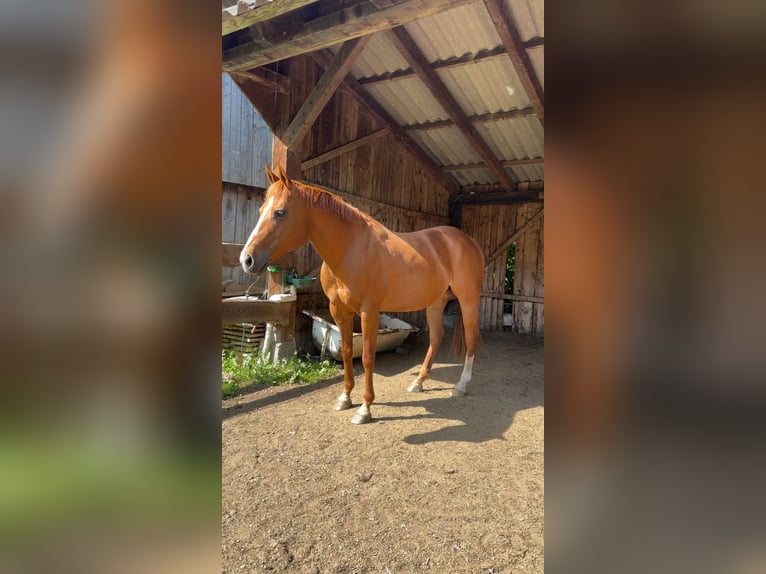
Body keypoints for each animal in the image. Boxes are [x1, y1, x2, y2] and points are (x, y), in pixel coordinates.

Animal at [240, 166, 485, 424]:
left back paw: (460, 385)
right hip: (435, 302)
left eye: (280, 212)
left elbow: (367, 357)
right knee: (436, 337)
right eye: (261, 210)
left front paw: (365, 408)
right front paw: (345, 398)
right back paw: (418, 382)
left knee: (471, 338)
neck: (351, 250)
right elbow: (347, 352)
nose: (247, 259)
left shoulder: (369, 311)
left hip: (468, 301)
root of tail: (468, 241)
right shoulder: (339, 311)